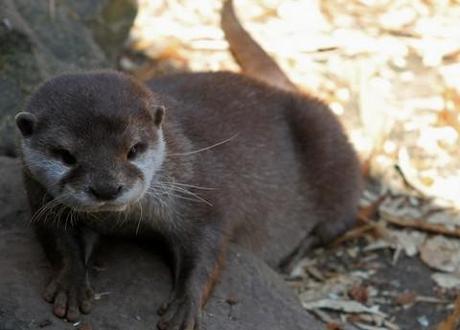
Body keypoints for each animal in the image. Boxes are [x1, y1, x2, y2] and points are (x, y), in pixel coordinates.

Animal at [14, 1, 362, 328]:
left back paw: (295, 254)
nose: (107, 188)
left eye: (133, 149)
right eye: (66, 155)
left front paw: (185, 305)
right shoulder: (39, 194)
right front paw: (71, 283)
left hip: (334, 152)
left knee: (337, 221)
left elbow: (208, 246)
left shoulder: (202, 192)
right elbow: (59, 240)